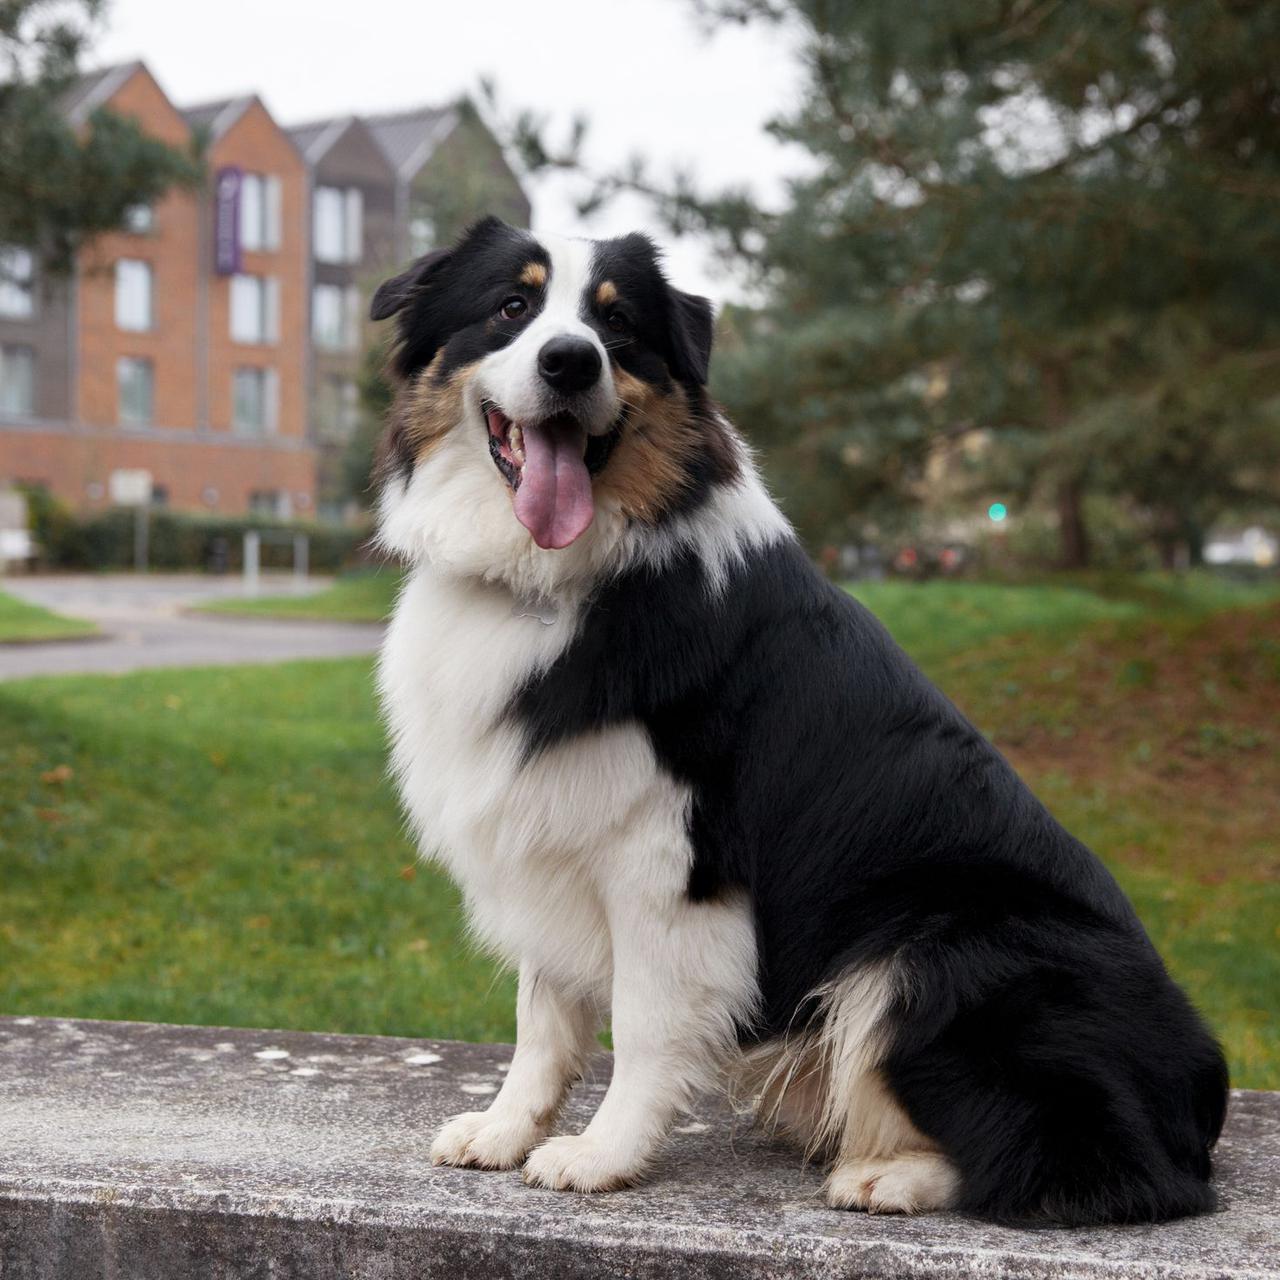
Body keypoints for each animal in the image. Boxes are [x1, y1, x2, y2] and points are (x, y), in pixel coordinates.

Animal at [371, 217, 1228, 1218]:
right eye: (513, 305)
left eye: (618, 327)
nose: (570, 362)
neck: (554, 579)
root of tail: (1201, 1085)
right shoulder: (546, 820)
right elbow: (541, 1019)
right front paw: (506, 1131)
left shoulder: (671, 857)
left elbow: (645, 1023)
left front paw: (603, 1155)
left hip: (947, 950)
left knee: (1095, 1165)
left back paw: (887, 1175)